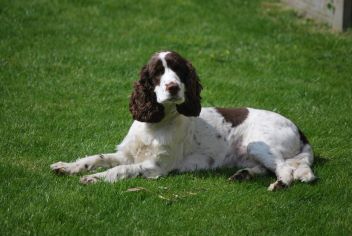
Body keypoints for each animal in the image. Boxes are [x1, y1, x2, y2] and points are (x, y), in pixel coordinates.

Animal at [51, 50, 316, 191]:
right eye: (157, 72)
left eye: (179, 70)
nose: (173, 87)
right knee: (266, 168)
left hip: (259, 145)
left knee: (284, 168)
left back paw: (280, 184)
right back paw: (243, 175)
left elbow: (121, 169)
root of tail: (299, 129)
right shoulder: (127, 153)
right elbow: (96, 158)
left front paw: (95, 178)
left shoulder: (156, 166)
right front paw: (67, 166)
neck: (155, 125)